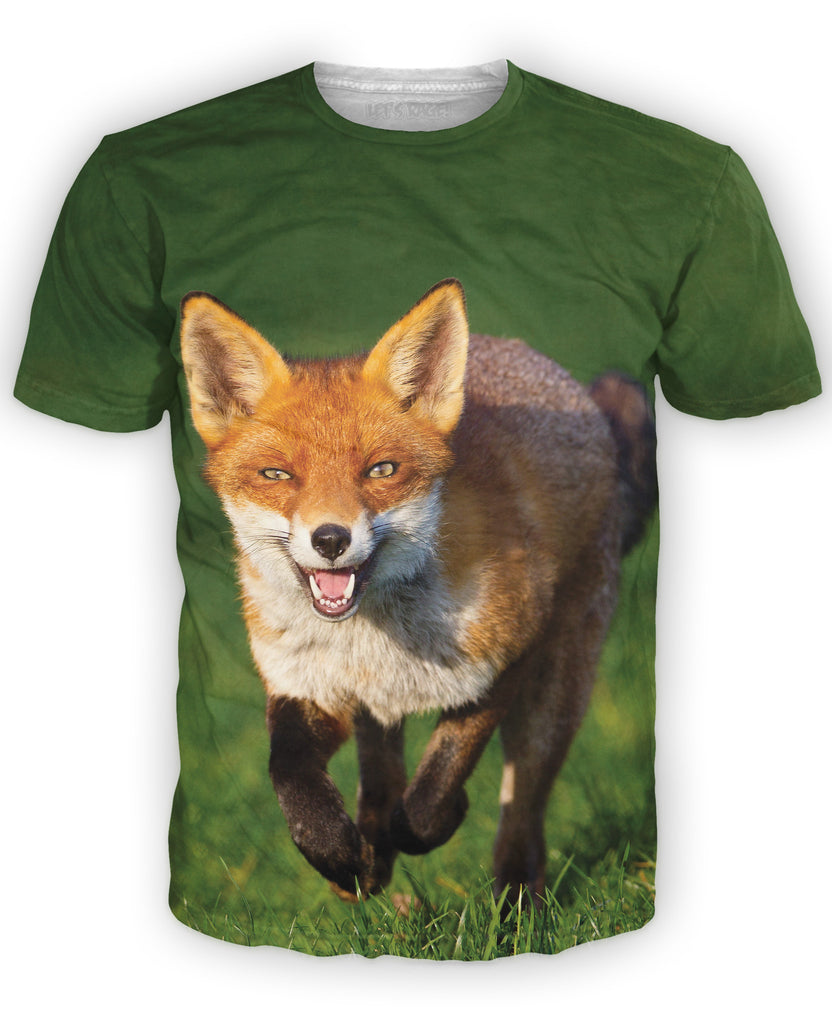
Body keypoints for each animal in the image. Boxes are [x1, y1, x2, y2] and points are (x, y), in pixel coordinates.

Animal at [179, 279, 657, 903]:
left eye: (382, 470)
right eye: (277, 476)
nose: (330, 538)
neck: (372, 640)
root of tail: (544, 366)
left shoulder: (503, 662)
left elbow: (434, 790)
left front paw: (443, 817)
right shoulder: (305, 686)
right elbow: (290, 774)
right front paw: (337, 856)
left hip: (556, 691)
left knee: (523, 806)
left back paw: (515, 899)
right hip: (379, 713)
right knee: (381, 778)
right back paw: (371, 860)